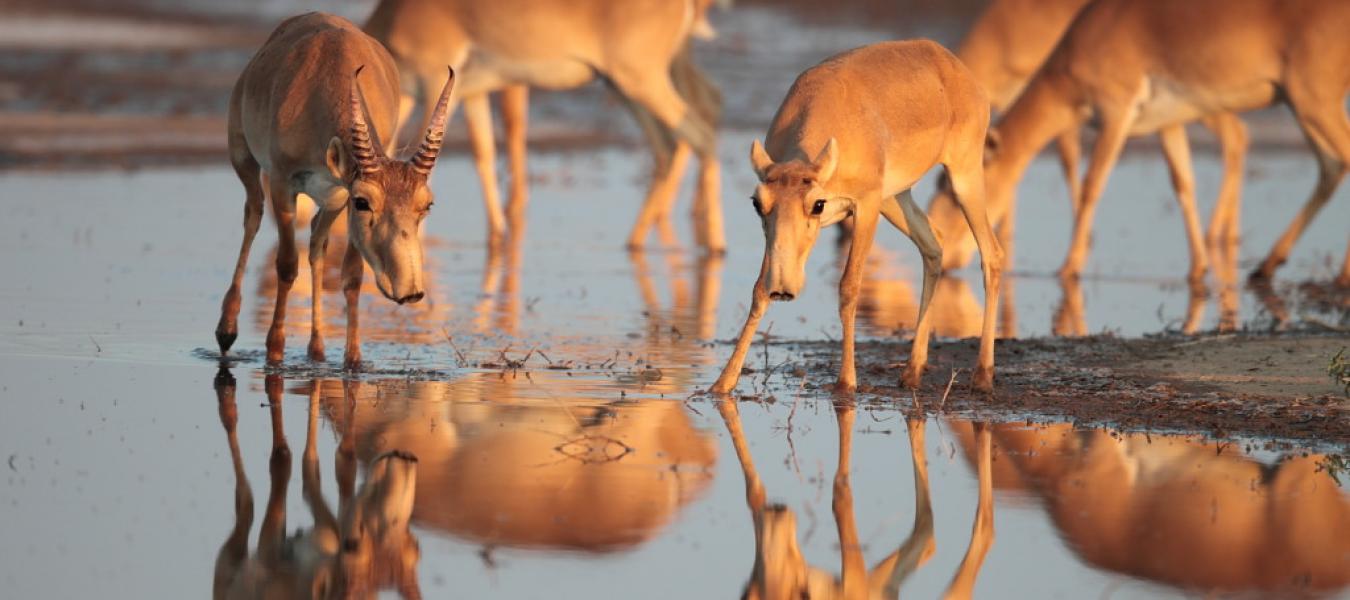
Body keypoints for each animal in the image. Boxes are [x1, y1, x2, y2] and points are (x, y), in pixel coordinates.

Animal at [216, 12, 456, 370]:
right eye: (364, 202)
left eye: (427, 205)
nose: (410, 291)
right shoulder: (283, 183)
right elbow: (286, 264)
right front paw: (275, 350)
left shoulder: (342, 193)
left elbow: (352, 275)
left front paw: (354, 360)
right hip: (242, 154)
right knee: (253, 215)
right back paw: (227, 330)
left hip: (328, 200)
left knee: (317, 241)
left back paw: (316, 349)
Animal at [364, 0, 729, 251]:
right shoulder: (472, 93)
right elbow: (483, 153)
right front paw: (498, 234)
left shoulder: (435, 85)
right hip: (622, 85)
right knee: (673, 139)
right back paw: (636, 241)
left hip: (640, 80)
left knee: (699, 133)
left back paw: (715, 245)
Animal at [707, 39, 1004, 394]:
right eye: (757, 203)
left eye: (817, 205)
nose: (784, 289)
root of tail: (951, 64)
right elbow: (758, 290)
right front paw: (721, 384)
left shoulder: (865, 206)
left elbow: (849, 286)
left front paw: (846, 381)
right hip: (896, 197)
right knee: (934, 245)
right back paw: (912, 371)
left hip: (963, 173)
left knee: (992, 254)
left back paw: (983, 376)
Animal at [928, 0, 1350, 286]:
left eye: (949, 190)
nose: (947, 259)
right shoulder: (1169, 124)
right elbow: (1183, 184)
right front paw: (1198, 268)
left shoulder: (1116, 115)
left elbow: (1091, 186)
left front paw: (1069, 266)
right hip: (1301, 105)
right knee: (1328, 167)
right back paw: (1266, 265)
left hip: (1313, 101)